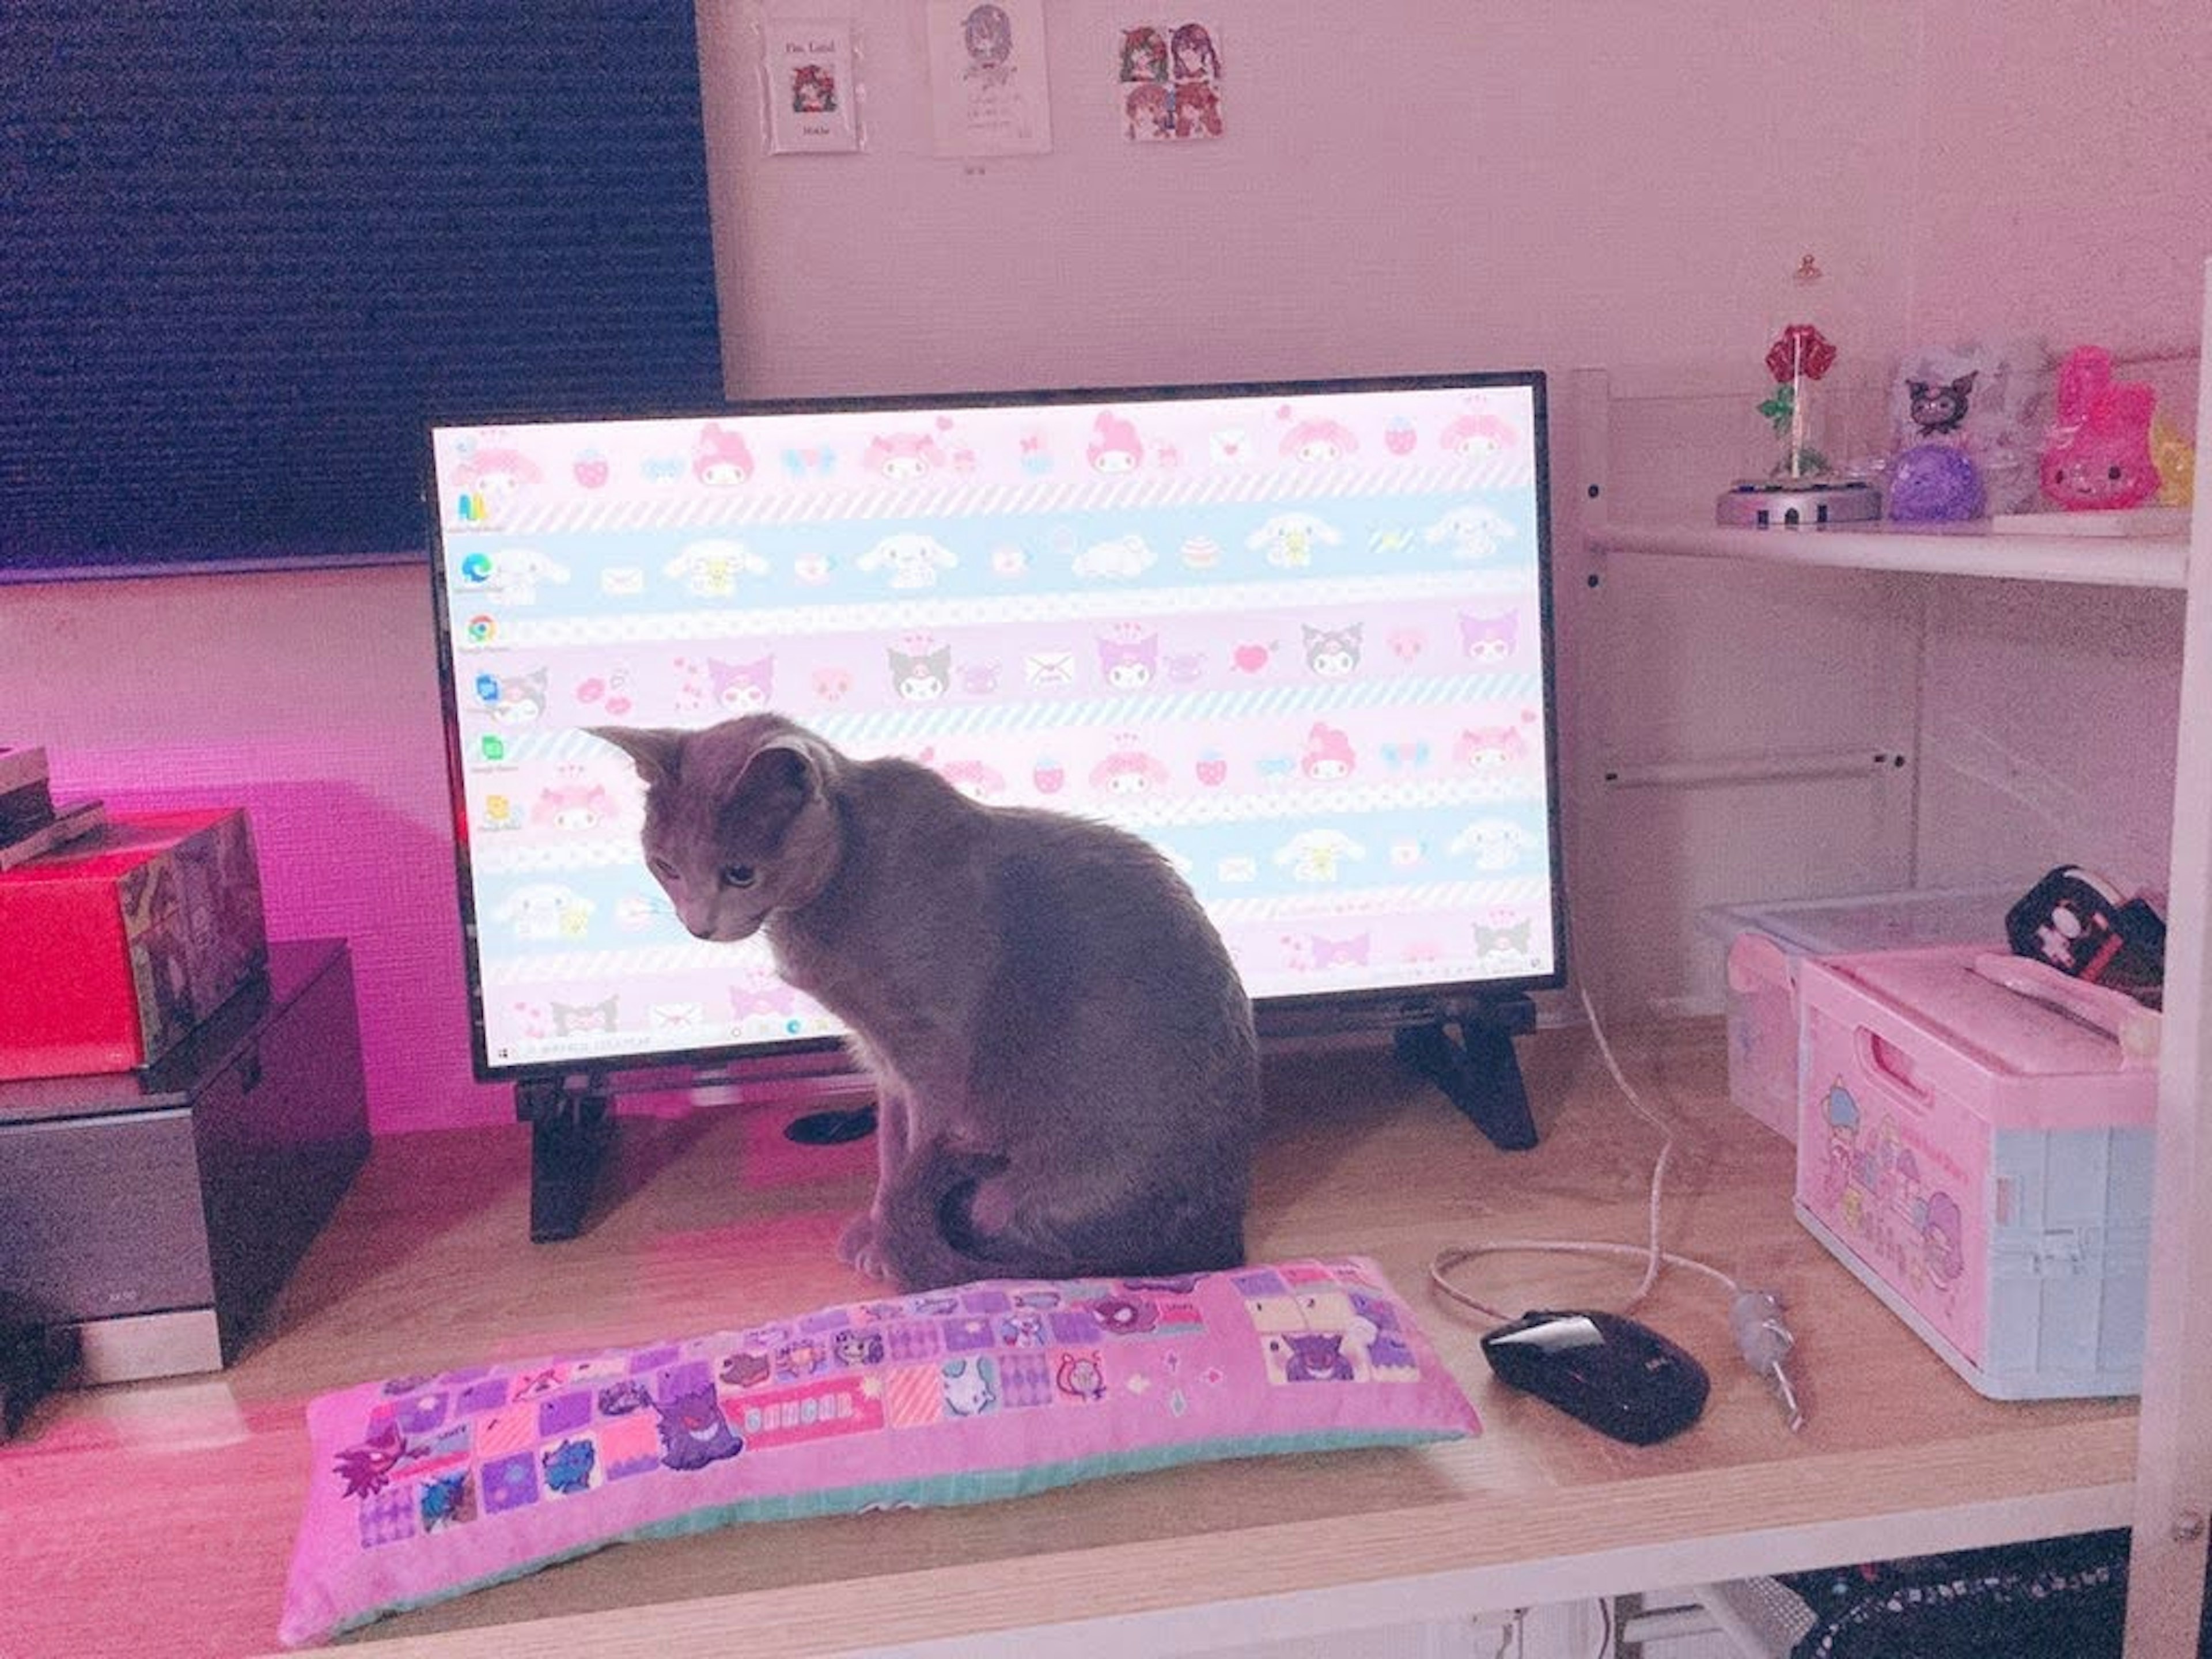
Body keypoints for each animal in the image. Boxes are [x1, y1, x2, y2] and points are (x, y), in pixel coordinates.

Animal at [588, 717, 1265, 1300]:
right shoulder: (884, 1062)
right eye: (665, 867)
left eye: (739, 873)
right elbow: (890, 1151)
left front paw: (889, 1250)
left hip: (1025, 1184)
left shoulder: (933, 1053)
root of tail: (1219, 1236)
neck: (845, 878)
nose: (697, 926)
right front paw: (876, 1231)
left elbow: (916, 1145)